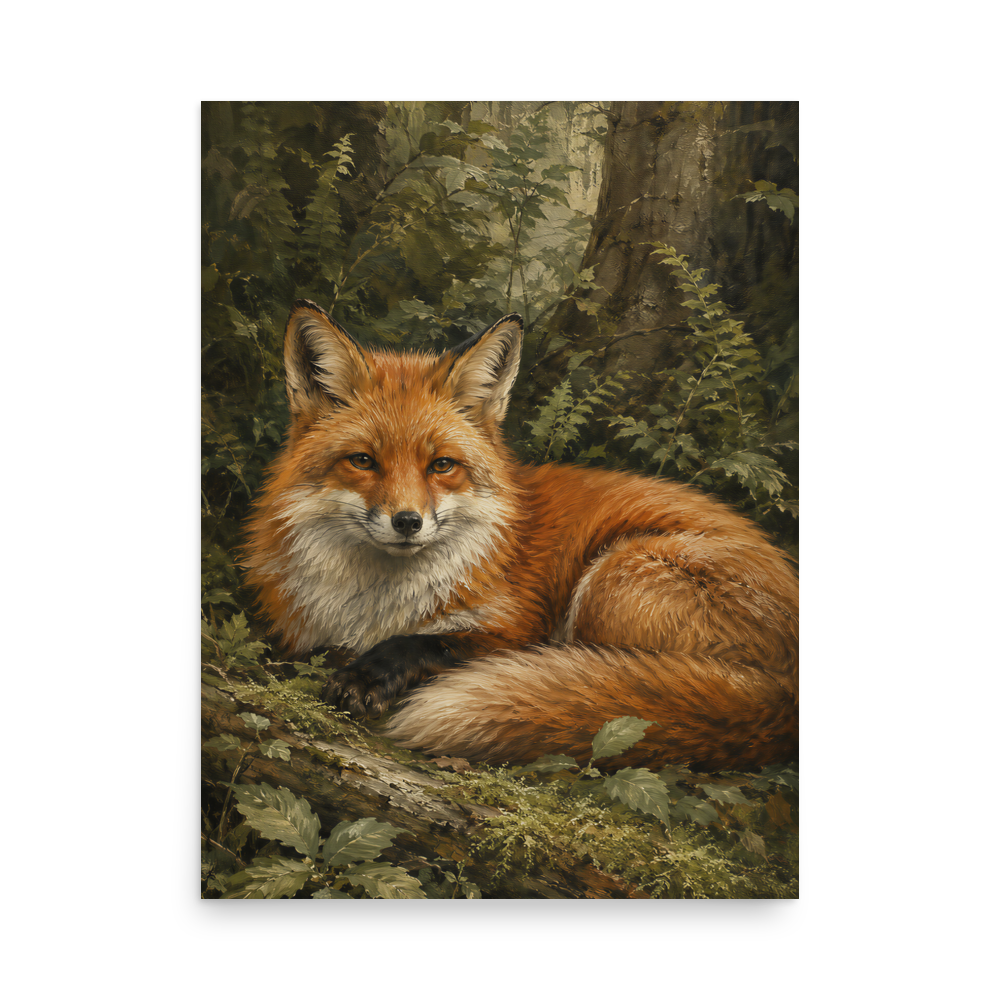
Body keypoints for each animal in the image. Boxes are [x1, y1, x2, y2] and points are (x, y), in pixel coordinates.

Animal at [244, 299, 799, 772]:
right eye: (362, 461)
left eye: (442, 465)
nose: (407, 522)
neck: (374, 605)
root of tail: (785, 696)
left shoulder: (515, 629)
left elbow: (432, 643)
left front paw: (367, 675)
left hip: (612, 578)